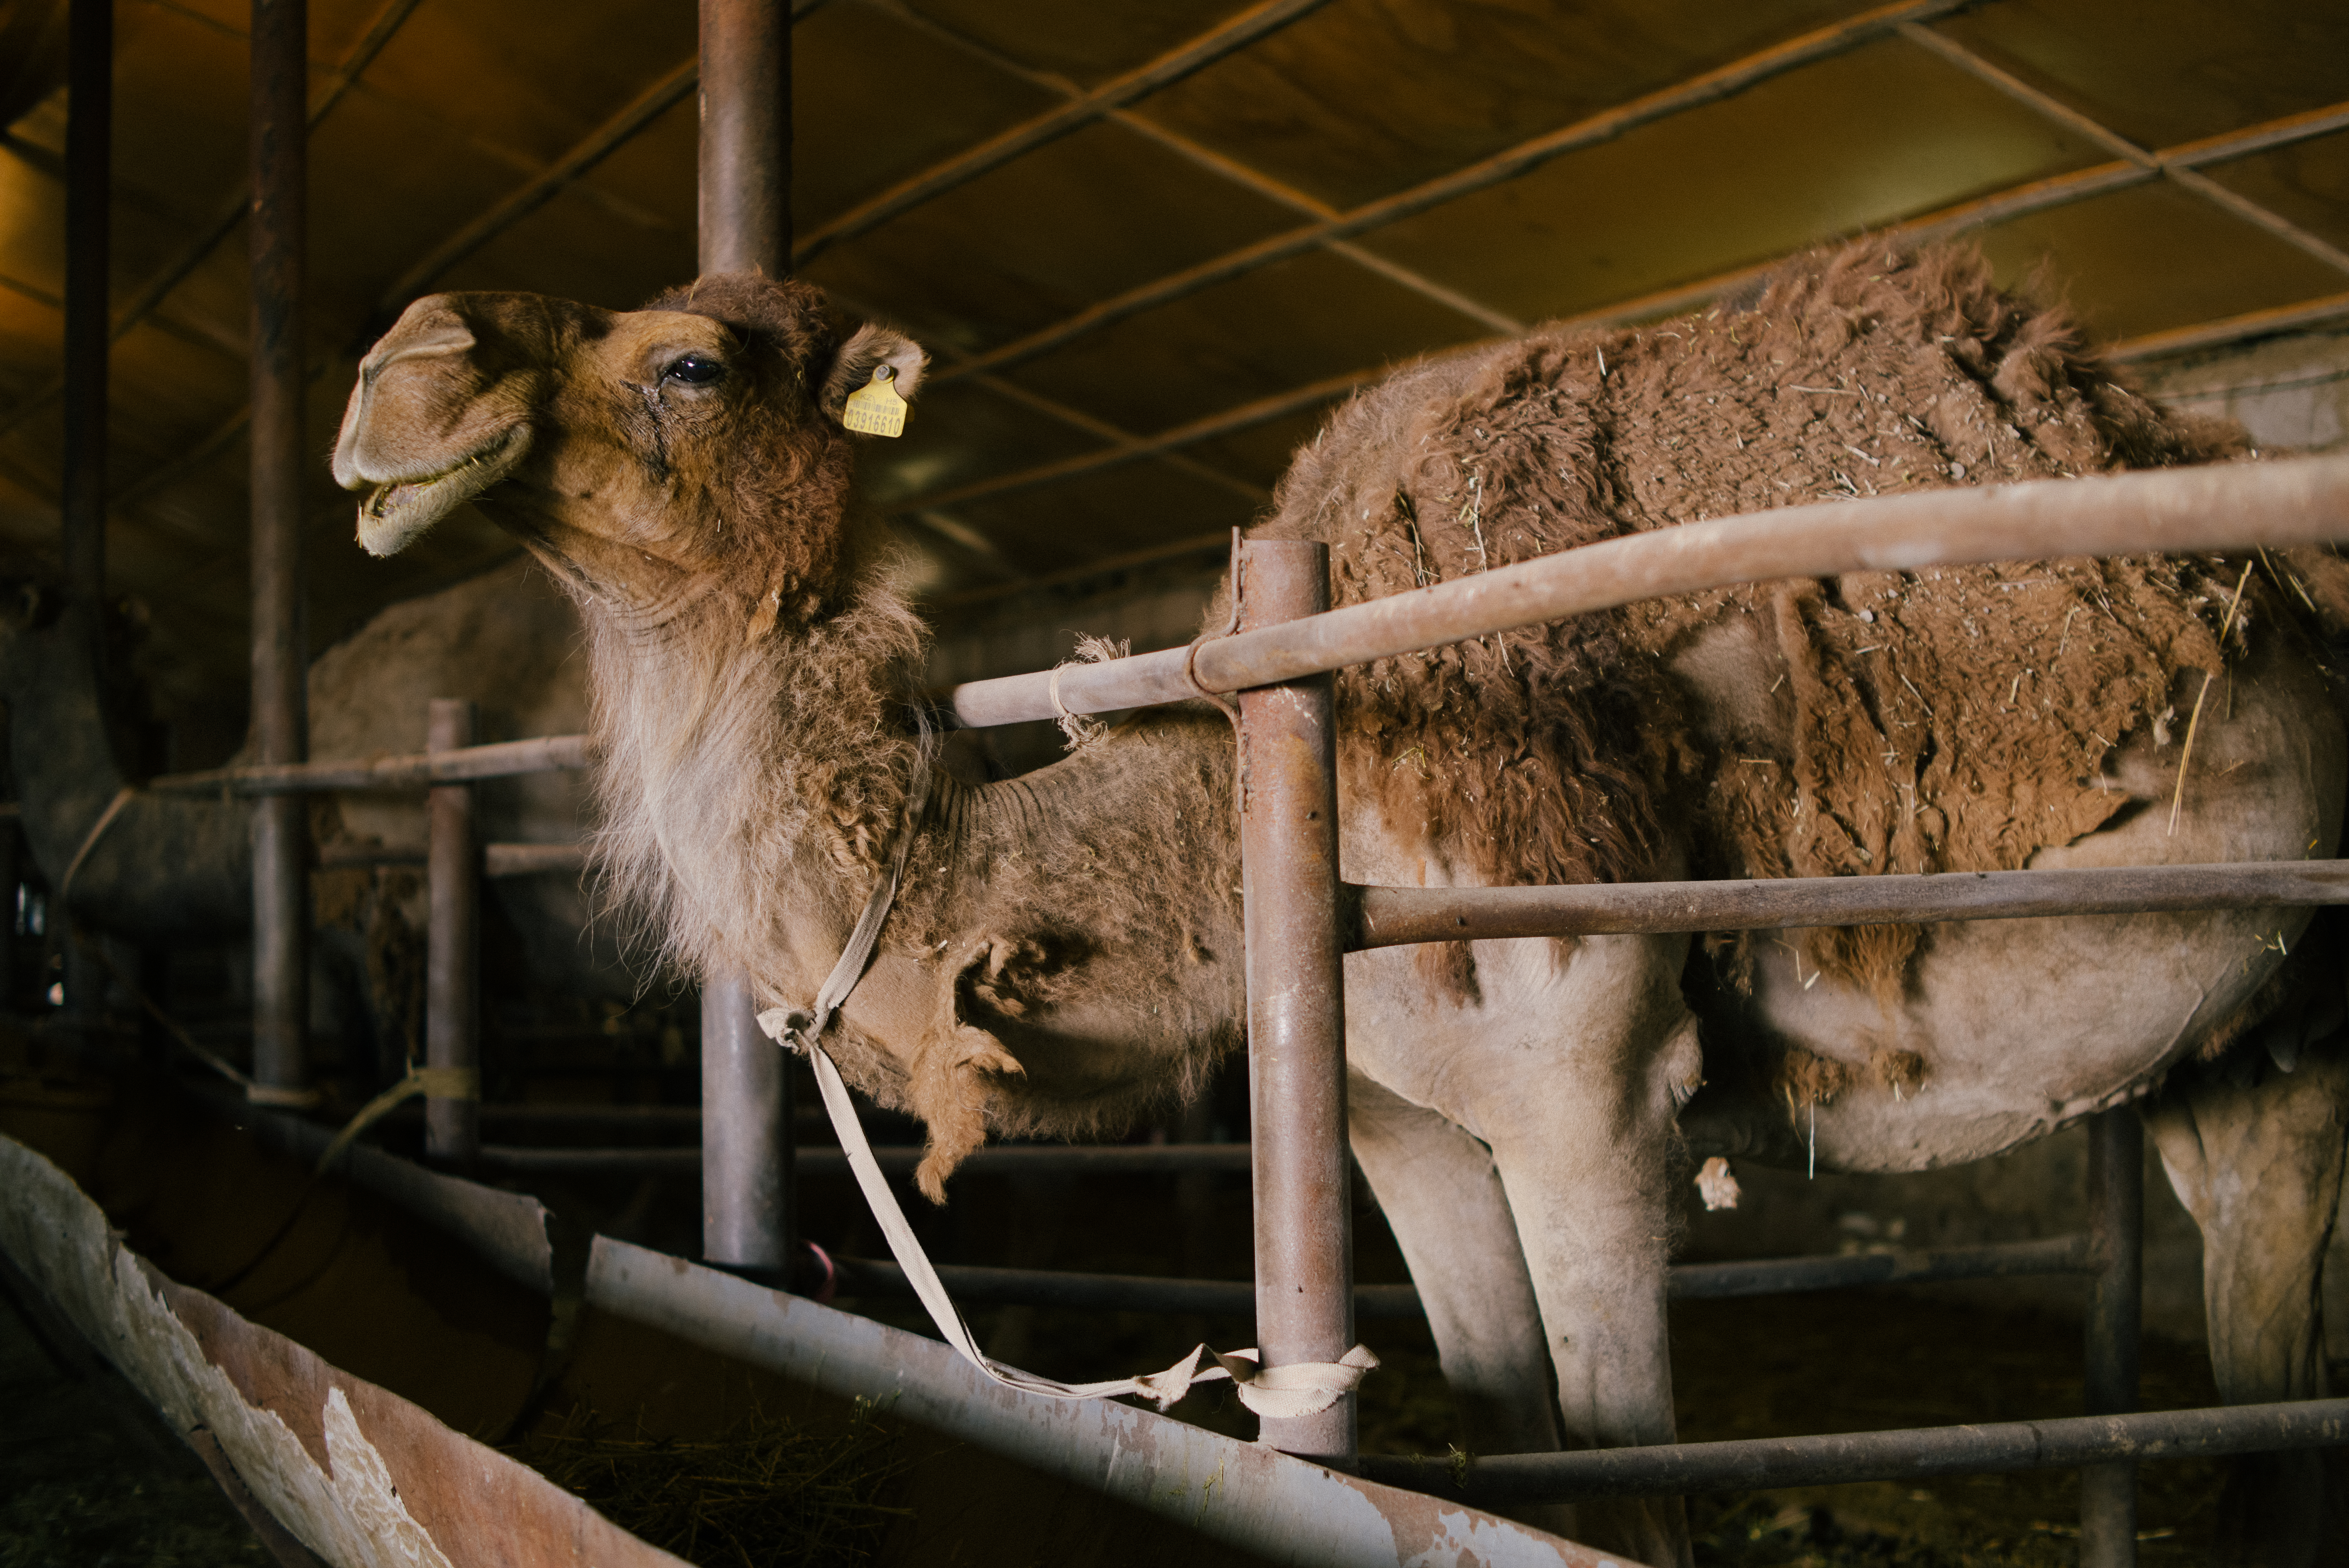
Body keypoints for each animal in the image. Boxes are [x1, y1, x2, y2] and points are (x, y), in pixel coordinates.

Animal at [331, 248, 2349, 1568]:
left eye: (687, 364)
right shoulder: (1397, 1119)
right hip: (2233, 1042)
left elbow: (1634, 1486)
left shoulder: (1585, 1092)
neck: (1247, 799)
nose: (396, 369)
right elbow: (1508, 1442)